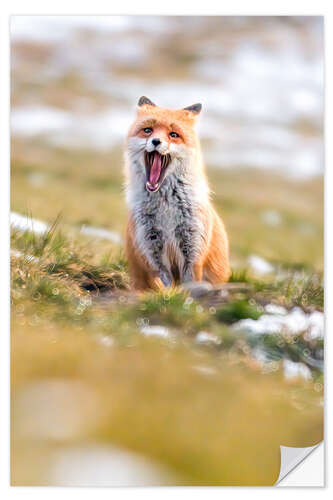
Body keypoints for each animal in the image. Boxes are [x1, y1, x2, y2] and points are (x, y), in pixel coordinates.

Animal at [123, 96, 230, 292]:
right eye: (148, 130)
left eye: (173, 135)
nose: (156, 141)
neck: (166, 207)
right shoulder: (151, 247)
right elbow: (166, 283)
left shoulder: (193, 246)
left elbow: (190, 282)